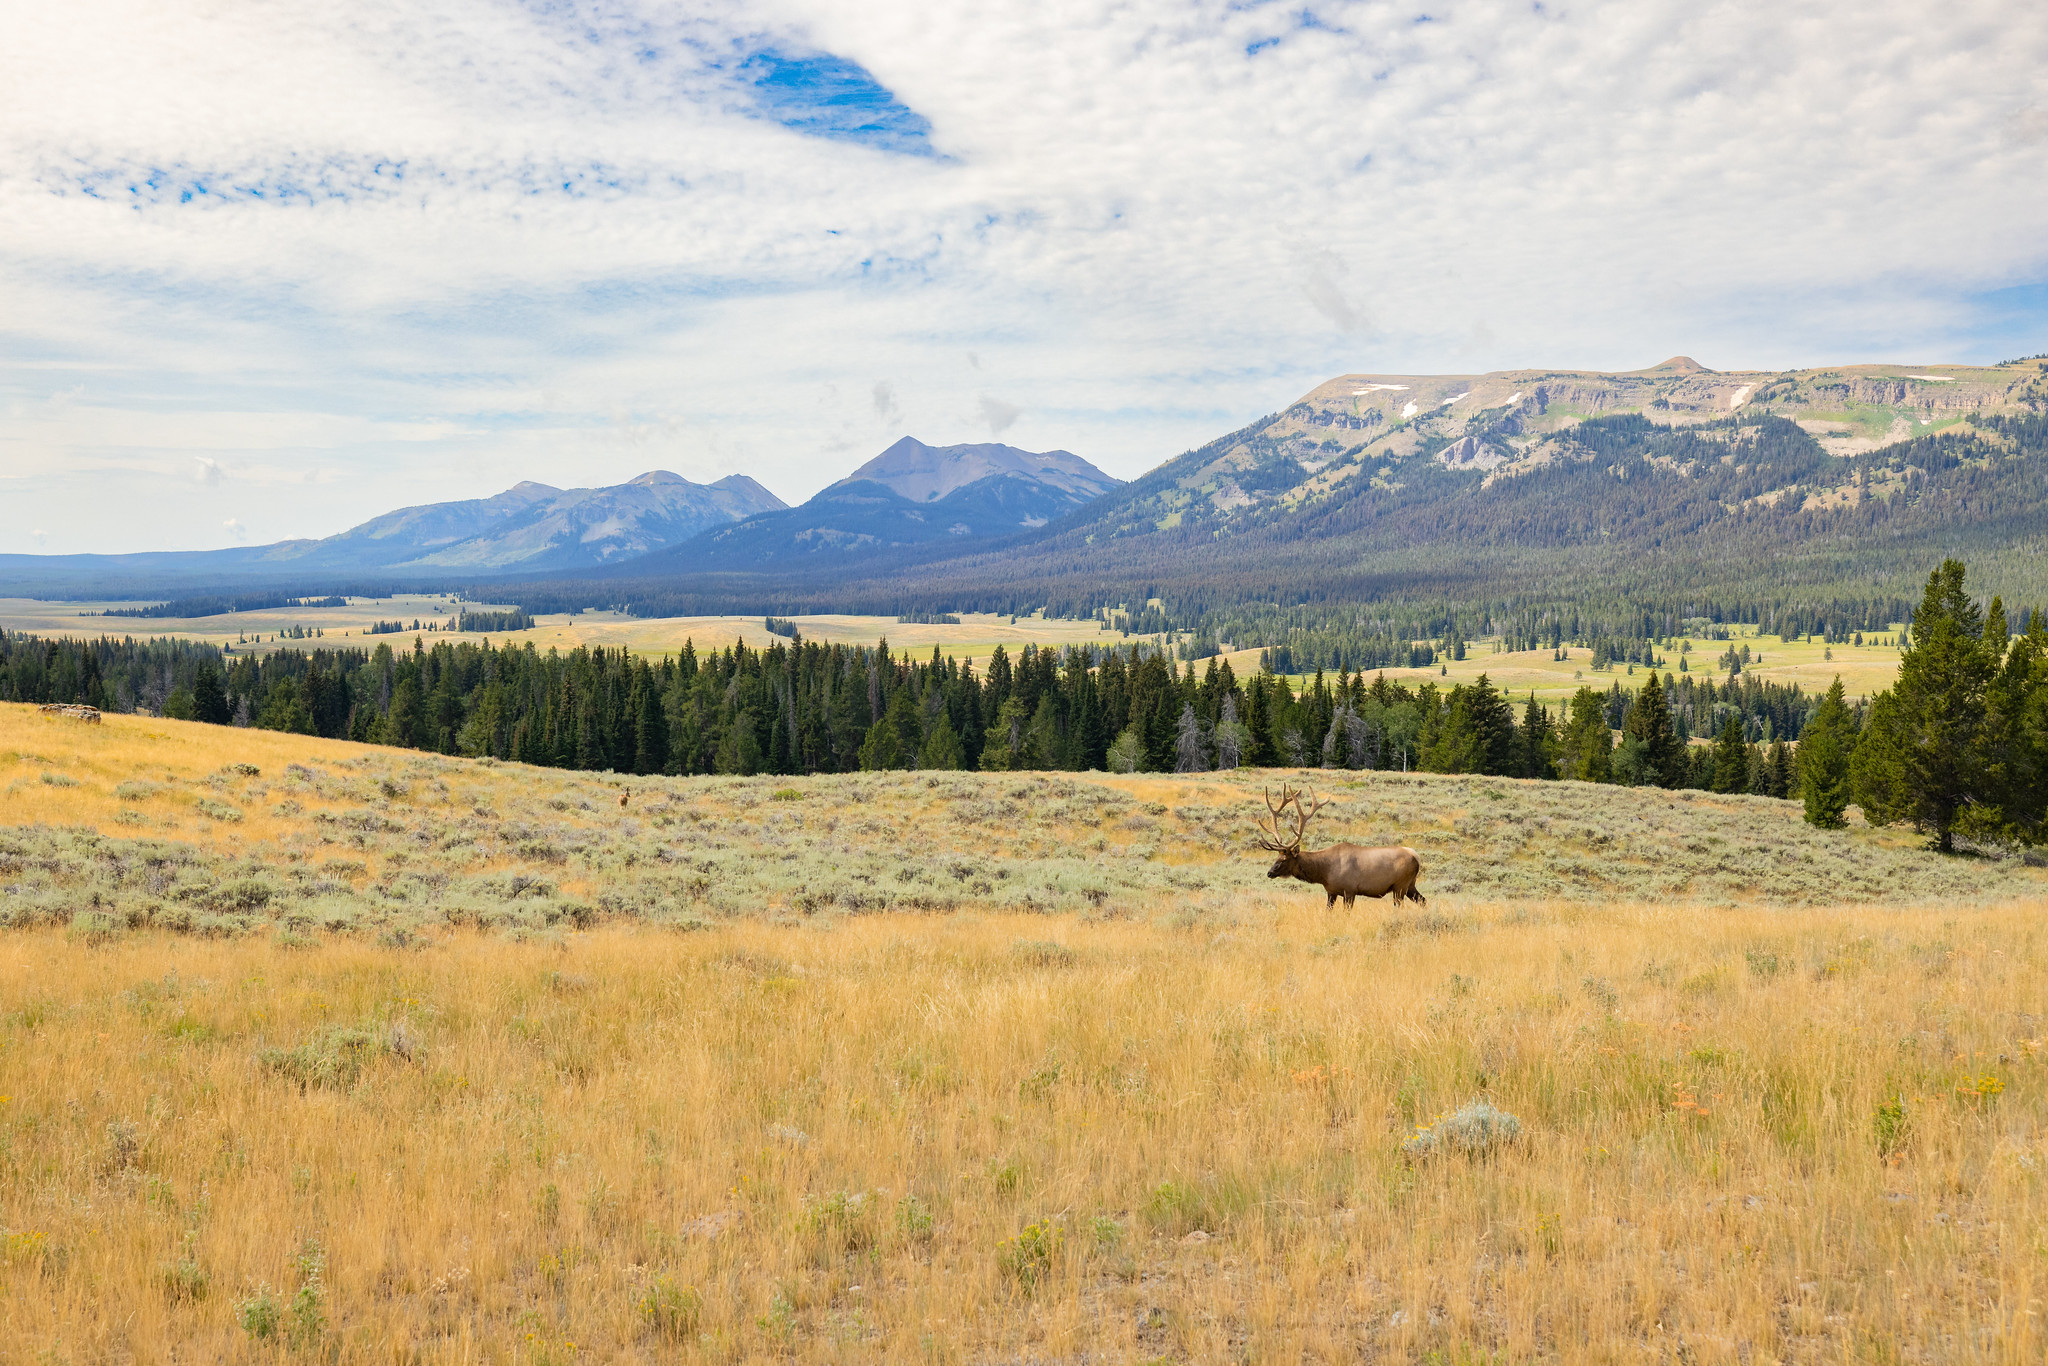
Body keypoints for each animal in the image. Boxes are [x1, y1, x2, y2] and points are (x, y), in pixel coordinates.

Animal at [1245, 786, 1425, 913]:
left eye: (1283, 859)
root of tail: (1416, 856)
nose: (1269, 873)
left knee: (1401, 906)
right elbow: (1328, 911)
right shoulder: (1331, 892)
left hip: (1400, 886)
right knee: (1423, 900)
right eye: (1275, 858)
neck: (1324, 872)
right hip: (1410, 886)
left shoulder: (1350, 890)